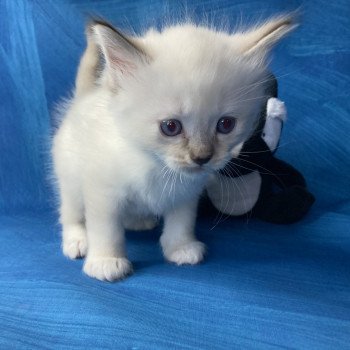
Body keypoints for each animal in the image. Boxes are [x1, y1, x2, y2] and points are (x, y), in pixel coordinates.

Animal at [52, 15, 296, 282]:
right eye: (170, 127)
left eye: (226, 124)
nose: (202, 157)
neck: (157, 166)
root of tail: (85, 97)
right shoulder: (102, 191)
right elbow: (106, 229)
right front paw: (106, 261)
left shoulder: (187, 193)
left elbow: (181, 222)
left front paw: (181, 249)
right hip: (71, 179)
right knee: (70, 212)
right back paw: (77, 241)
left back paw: (139, 220)